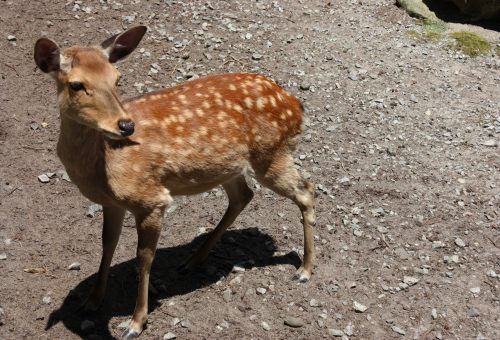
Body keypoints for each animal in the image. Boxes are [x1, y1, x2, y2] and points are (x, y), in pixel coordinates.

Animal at [34, 25, 316, 338]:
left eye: (117, 78)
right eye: (75, 84)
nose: (126, 125)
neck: (103, 165)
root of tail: (296, 105)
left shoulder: (151, 199)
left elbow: (144, 257)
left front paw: (136, 322)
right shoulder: (112, 202)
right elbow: (107, 243)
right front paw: (92, 301)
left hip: (271, 154)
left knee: (306, 190)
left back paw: (304, 270)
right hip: (230, 167)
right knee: (244, 196)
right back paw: (193, 260)